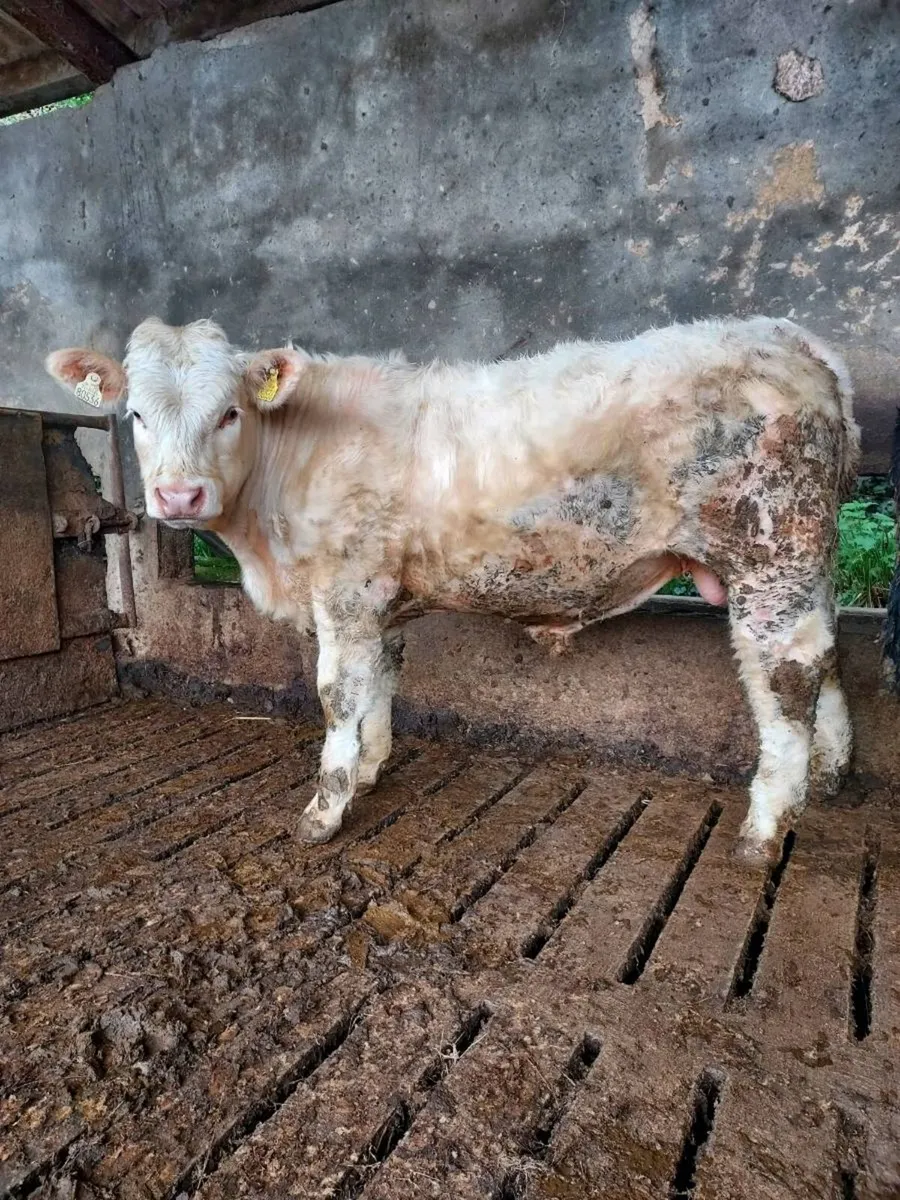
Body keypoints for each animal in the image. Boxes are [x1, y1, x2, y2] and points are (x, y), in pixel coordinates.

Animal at [46, 314, 860, 858]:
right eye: (136, 413)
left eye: (229, 412)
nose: (178, 496)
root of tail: (789, 337)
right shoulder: (377, 596)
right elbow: (380, 678)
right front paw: (371, 769)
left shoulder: (344, 585)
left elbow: (338, 692)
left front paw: (325, 809)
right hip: (803, 562)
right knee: (825, 659)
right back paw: (827, 777)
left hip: (770, 552)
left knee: (785, 678)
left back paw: (764, 829)